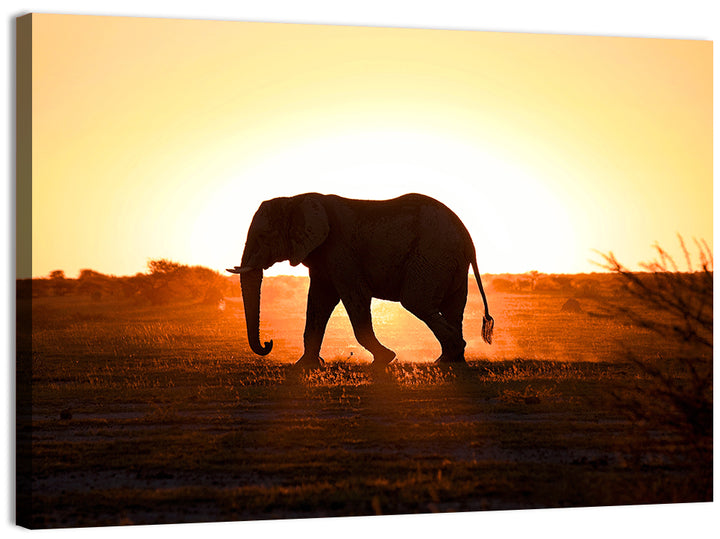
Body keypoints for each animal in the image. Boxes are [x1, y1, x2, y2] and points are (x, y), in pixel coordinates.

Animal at [227, 193, 494, 369]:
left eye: (263, 236)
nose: (268, 342)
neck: (295, 199)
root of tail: (468, 240)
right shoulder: (323, 256)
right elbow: (319, 303)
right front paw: (305, 365)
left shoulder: (340, 249)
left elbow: (354, 297)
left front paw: (385, 359)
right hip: (449, 262)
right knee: (452, 309)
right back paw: (451, 360)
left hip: (433, 254)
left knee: (417, 303)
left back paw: (448, 358)